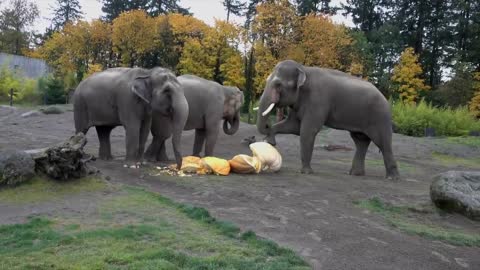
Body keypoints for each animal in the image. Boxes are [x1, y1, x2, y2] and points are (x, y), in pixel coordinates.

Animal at [256, 60, 400, 180]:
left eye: (278, 84)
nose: (267, 126)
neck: (304, 68)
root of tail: (385, 98)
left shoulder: (318, 100)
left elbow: (307, 131)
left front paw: (306, 172)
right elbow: (293, 126)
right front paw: (269, 141)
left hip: (380, 117)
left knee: (383, 143)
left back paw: (392, 178)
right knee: (360, 141)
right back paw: (355, 174)